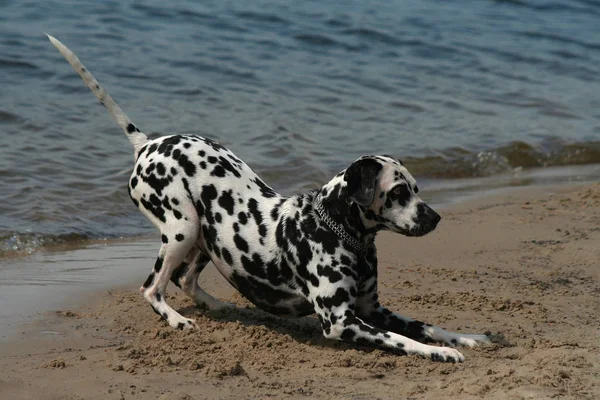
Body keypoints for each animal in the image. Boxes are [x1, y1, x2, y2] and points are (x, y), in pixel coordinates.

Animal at [49, 36, 490, 364]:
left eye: (416, 189)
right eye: (399, 192)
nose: (435, 218)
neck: (338, 233)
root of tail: (147, 144)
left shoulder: (372, 309)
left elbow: (424, 324)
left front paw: (465, 337)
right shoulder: (342, 322)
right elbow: (405, 340)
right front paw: (439, 352)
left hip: (206, 236)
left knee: (184, 279)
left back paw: (216, 306)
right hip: (182, 228)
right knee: (152, 287)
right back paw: (176, 320)